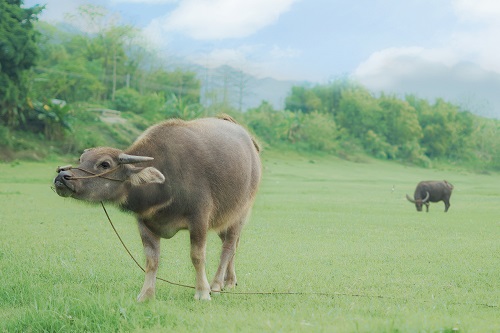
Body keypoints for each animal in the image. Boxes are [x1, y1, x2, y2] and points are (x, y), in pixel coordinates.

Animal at [53, 115, 262, 300]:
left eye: (105, 164)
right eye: (81, 160)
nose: (62, 176)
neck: (166, 181)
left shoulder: (199, 218)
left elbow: (197, 256)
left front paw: (203, 292)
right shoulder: (145, 223)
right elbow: (151, 260)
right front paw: (146, 295)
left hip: (240, 214)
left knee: (228, 247)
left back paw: (217, 285)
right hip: (223, 218)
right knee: (233, 245)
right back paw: (229, 281)